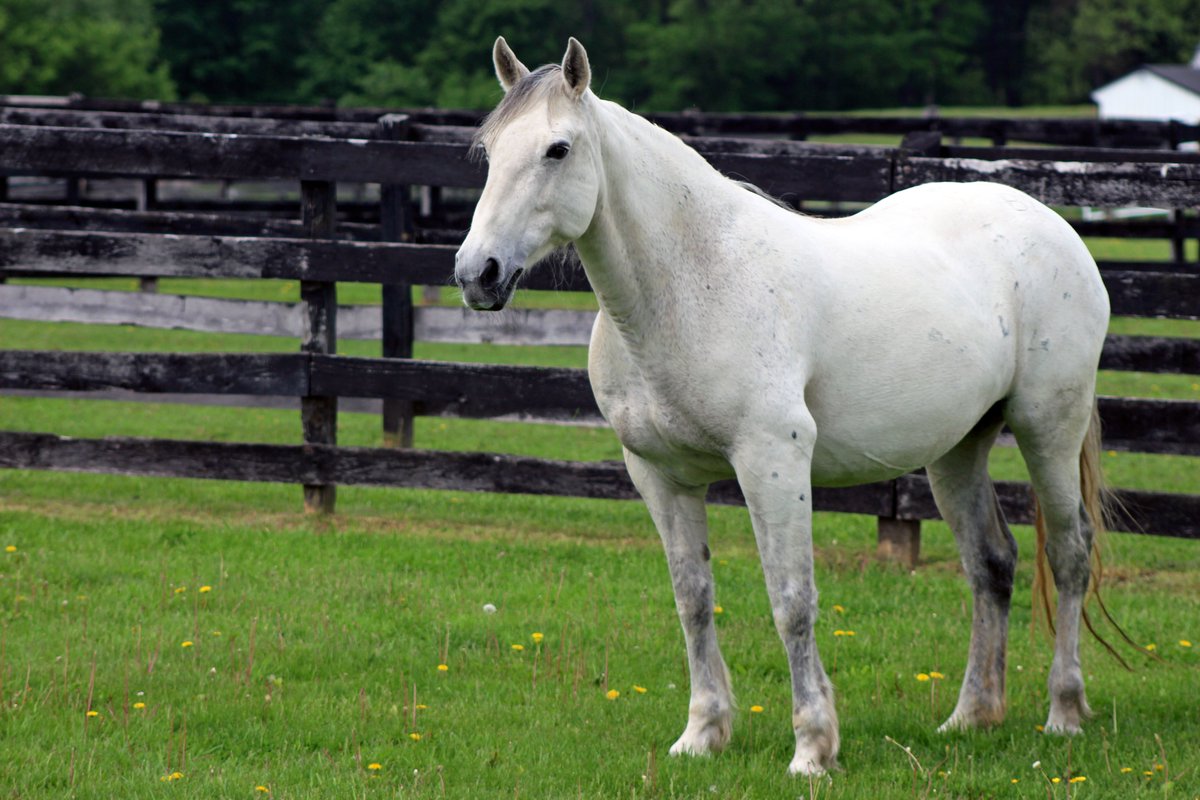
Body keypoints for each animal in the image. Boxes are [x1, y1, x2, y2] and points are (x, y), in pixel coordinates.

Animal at [454, 37, 1110, 775]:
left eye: (558, 149)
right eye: (489, 150)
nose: (477, 274)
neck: (692, 283)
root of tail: (1049, 223)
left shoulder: (773, 462)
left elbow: (792, 601)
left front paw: (813, 748)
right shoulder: (660, 477)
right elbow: (693, 599)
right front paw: (701, 734)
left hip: (1048, 427)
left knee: (1069, 552)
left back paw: (1064, 713)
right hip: (958, 450)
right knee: (991, 563)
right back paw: (970, 716)